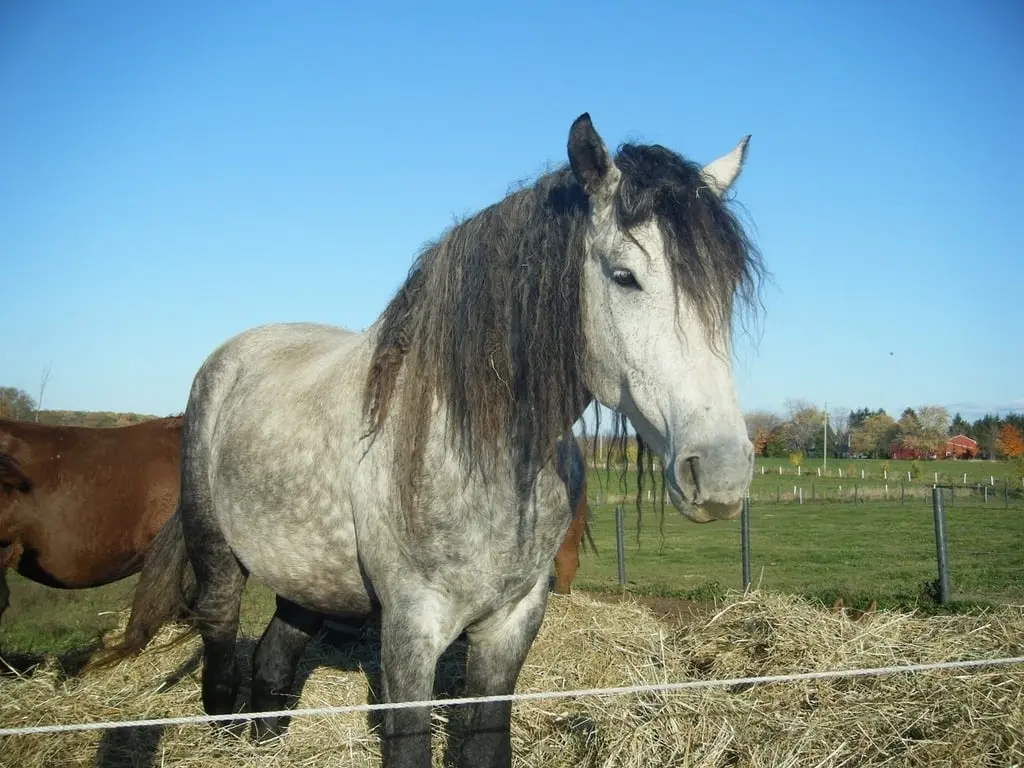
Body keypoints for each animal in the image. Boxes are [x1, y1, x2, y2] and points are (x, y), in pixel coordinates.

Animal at [96, 112, 763, 768]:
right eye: (625, 276)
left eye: (726, 288)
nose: (721, 472)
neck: (482, 450)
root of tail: (233, 355)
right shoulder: (411, 629)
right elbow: (409, 742)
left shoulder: (512, 622)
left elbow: (485, 739)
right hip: (217, 552)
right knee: (219, 635)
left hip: (306, 577)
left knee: (276, 656)